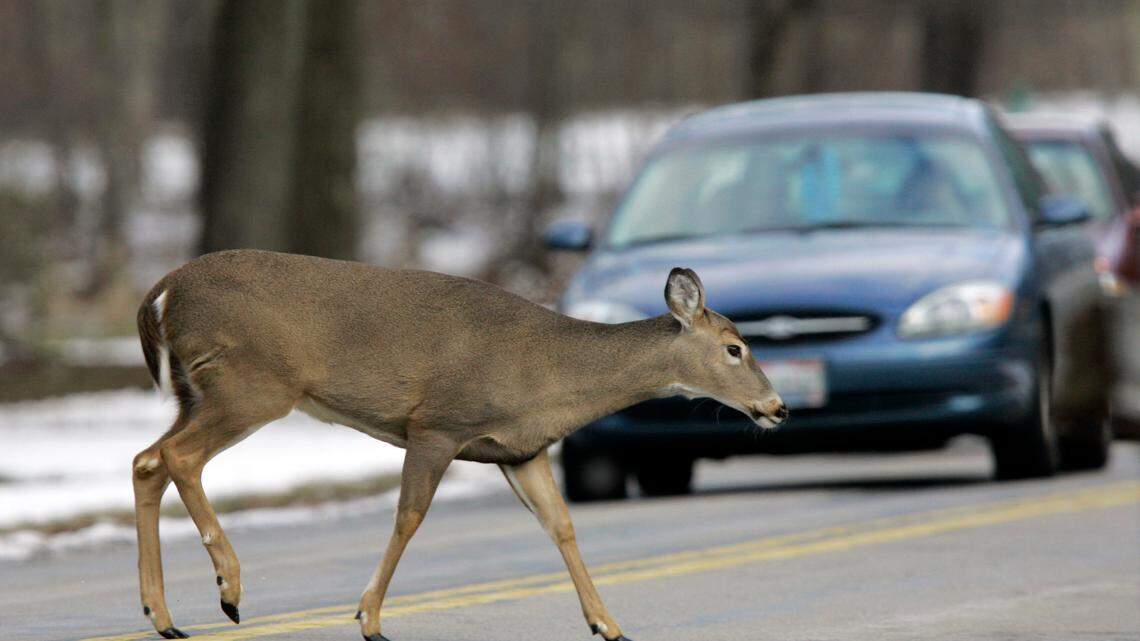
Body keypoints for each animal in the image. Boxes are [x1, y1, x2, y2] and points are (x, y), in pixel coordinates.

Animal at [131, 249, 787, 641]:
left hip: (199, 393)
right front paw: (368, 617)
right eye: (735, 348)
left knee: (146, 460)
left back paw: (162, 616)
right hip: (251, 384)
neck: (549, 375)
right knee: (178, 457)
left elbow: (562, 526)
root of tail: (163, 289)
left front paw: (608, 624)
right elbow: (409, 516)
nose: (777, 407)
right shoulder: (437, 424)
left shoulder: (520, 451)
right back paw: (228, 587)